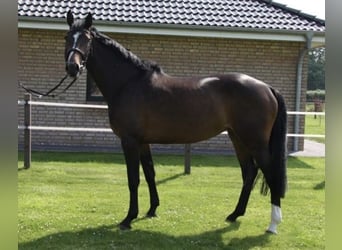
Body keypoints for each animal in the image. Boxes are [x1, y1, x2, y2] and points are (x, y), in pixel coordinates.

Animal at [63, 11, 286, 234]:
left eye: (86, 39)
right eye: (67, 38)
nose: (73, 67)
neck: (128, 84)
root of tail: (266, 87)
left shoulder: (129, 141)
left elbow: (133, 179)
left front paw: (128, 218)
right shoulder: (142, 142)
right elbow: (150, 173)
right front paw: (152, 209)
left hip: (255, 142)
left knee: (269, 173)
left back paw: (273, 224)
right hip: (237, 138)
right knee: (249, 172)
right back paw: (234, 214)